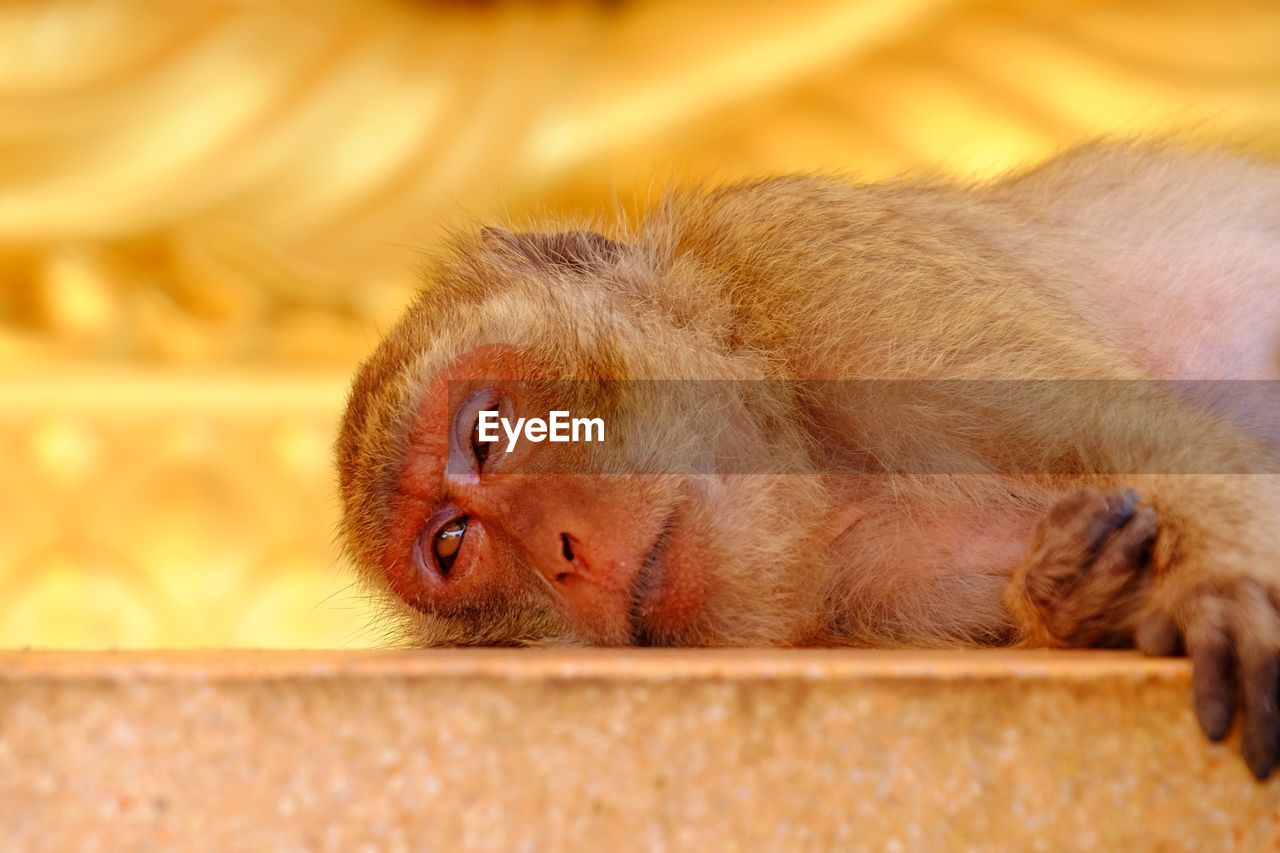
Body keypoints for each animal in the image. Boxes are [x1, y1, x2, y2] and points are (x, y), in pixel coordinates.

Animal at [337, 140, 1280, 778]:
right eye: (452, 544)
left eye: (485, 433)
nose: (562, 553)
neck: (824, 472)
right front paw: (1082, 594)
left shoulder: (810, 256)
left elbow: (1139, 433)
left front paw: (1222, 583)